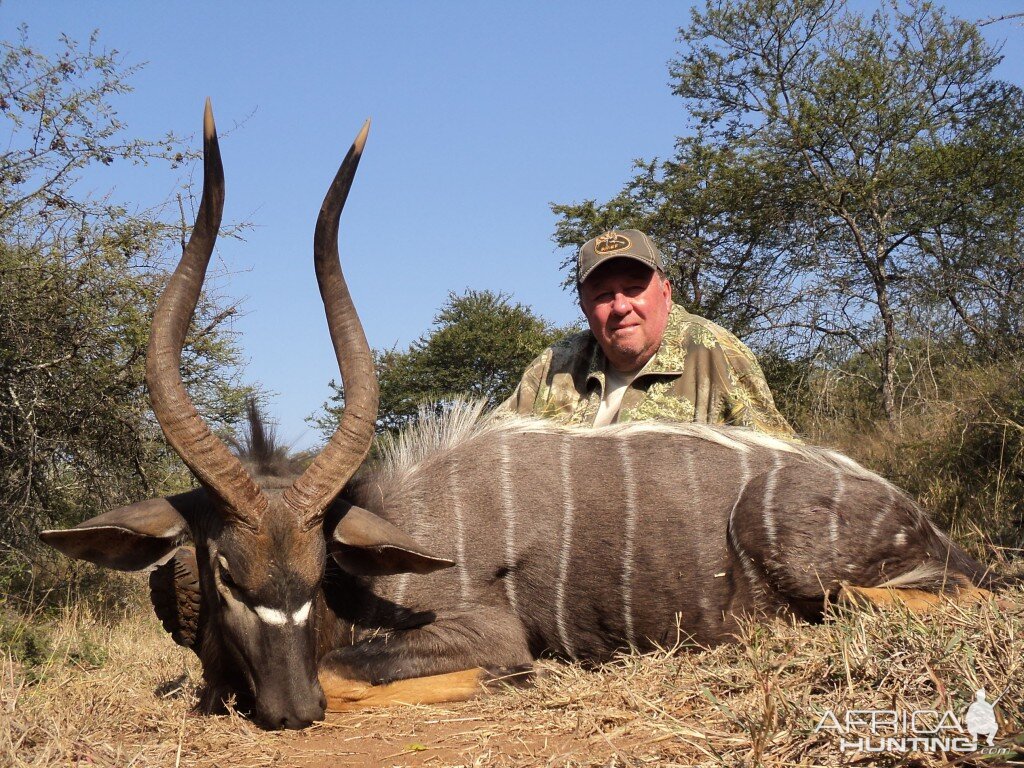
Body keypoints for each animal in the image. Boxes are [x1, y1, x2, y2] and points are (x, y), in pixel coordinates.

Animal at [41, 99, 991, 729]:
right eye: (227, 573)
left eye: (316, 571)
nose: (290, 710)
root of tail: (922, 521)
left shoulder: (478, 629)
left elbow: (365, 669)